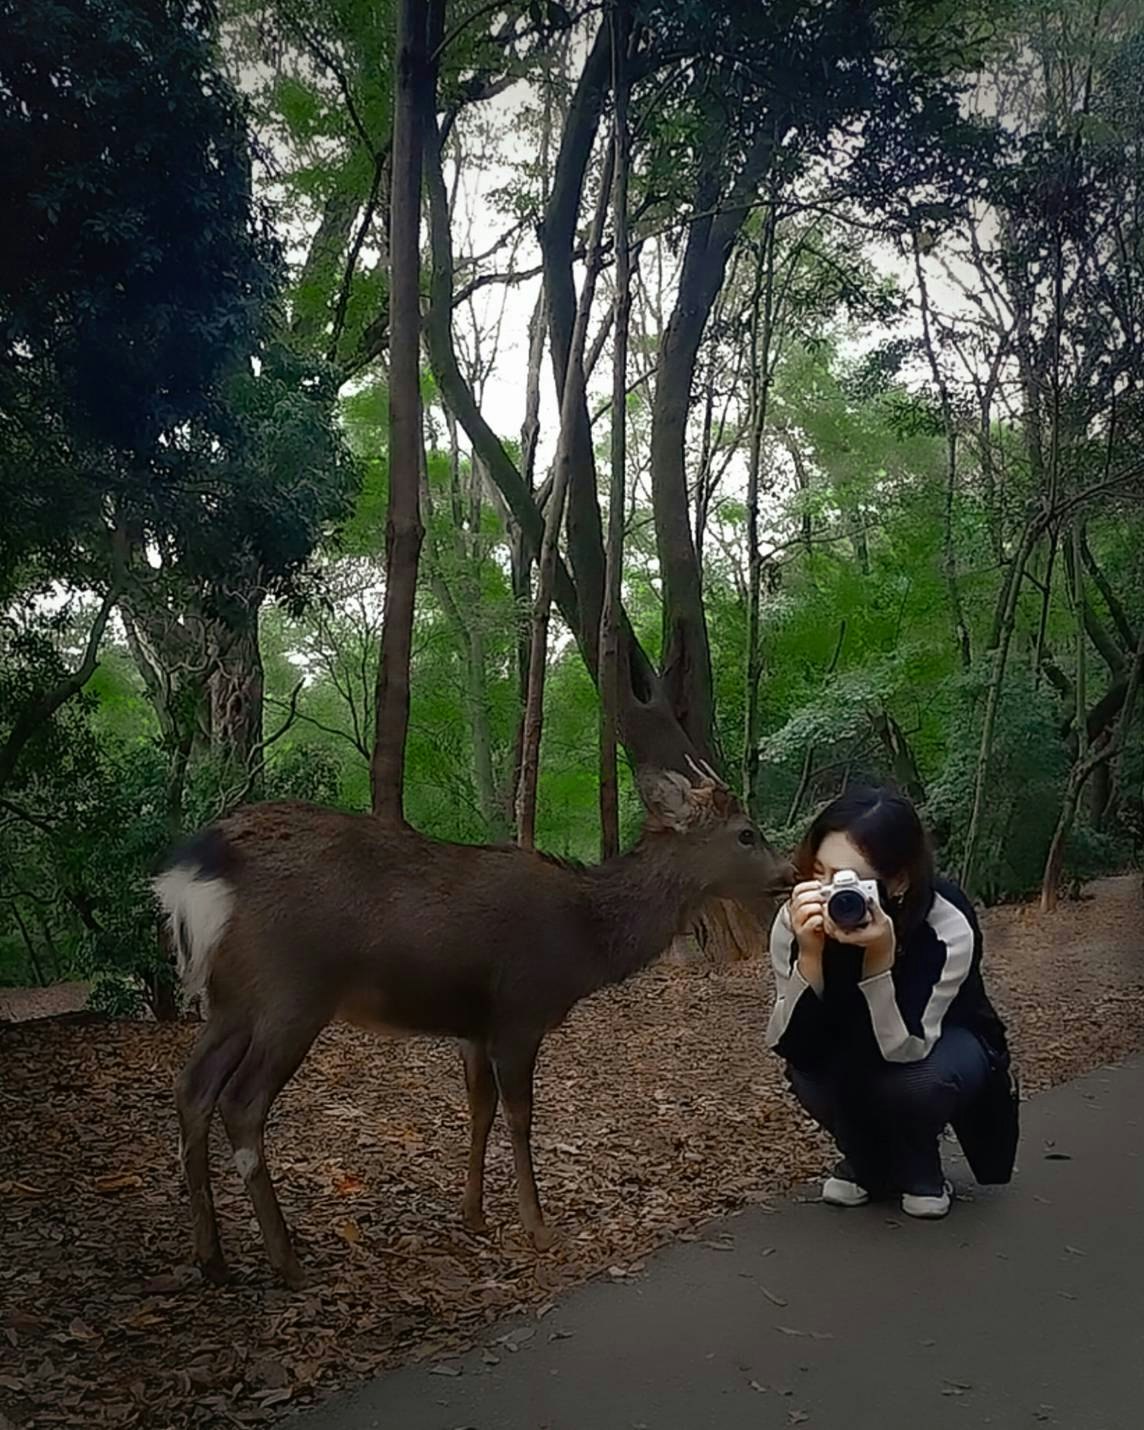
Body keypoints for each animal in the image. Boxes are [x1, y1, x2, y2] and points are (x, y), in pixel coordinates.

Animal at [154, 761, 793, 1287]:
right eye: (746, 832)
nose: (788, 872)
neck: (582, 943)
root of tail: (193, 873)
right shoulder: (519, 1014)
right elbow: (519, 1117)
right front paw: (539, 1227)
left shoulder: (473, 1029)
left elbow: (478, 1111)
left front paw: (476, 1214)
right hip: (292, 992)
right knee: (241, 1101)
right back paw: (287, 1261)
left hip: (232, 1001)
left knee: (192, 1088)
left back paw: (212, 1259)